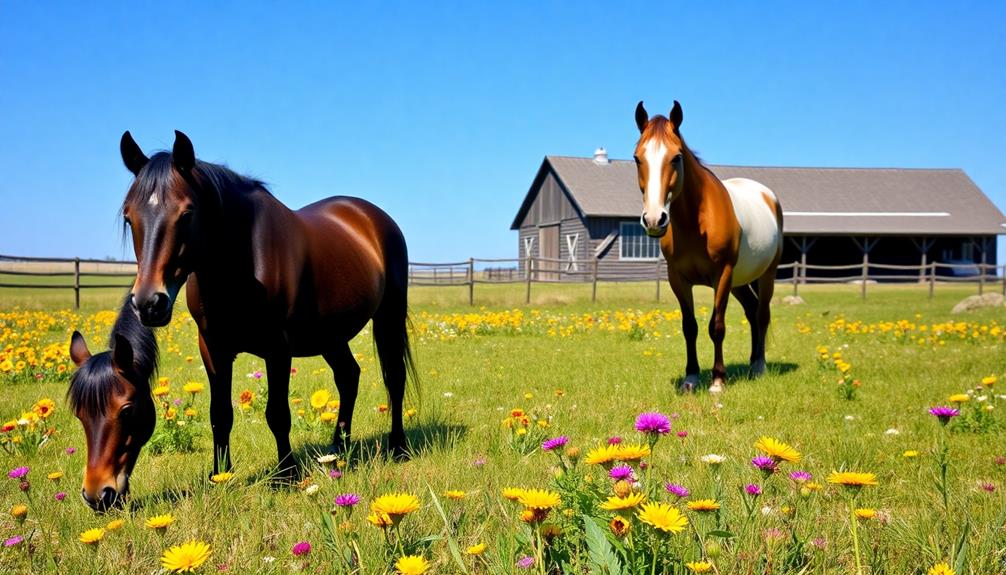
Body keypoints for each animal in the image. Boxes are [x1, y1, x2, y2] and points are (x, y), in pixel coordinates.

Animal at [631, 101, 780, 394]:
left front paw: (718, 380)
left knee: (761, 314)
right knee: (751, 311)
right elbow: (689, 327)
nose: (654, 219)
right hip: (738, 282)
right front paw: (691, 378)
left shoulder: (721, 275)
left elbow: (717, 326)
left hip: (765, 275)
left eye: (676, 157)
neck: (696, 221)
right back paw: (751, 362)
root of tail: (767, 195)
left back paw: (759, 366)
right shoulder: (678, 279)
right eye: (637, 158)